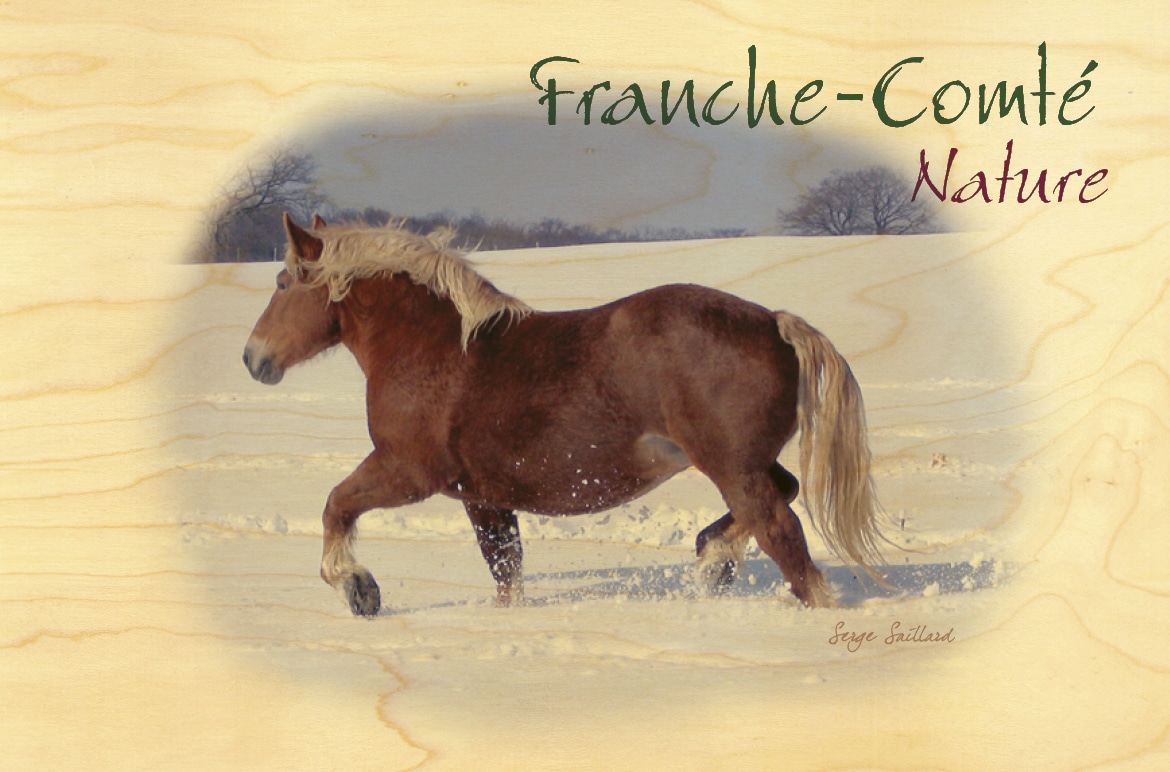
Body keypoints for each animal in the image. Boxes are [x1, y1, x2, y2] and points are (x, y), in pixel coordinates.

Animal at [243, 213, 883, 616]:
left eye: (282, 281)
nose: (254, 358)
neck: (434, 348)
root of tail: (774, 322)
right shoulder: (484, 497)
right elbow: (506, 572)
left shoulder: (407, 472)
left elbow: (336, 505)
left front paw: (358, 589)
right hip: (744, 463)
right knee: (784, 493)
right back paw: (713, 560)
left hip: (732, 468)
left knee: (784, 535)